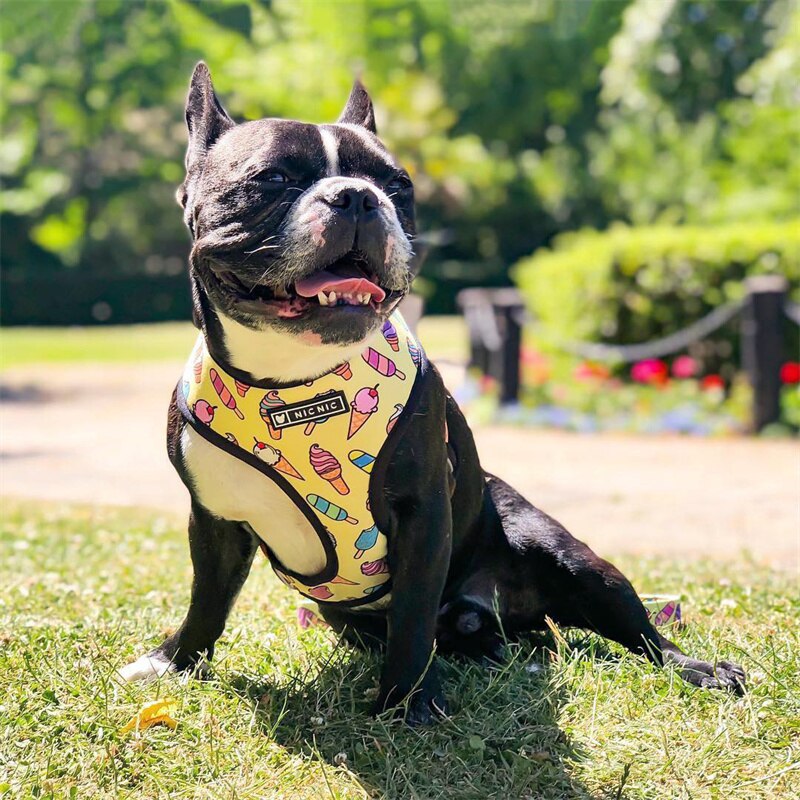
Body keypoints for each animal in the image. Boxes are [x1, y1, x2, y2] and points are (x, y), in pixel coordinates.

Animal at [117, 62, 744, 724]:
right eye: (275, 179)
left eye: (398, 185)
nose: (359, 195)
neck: (292, 385)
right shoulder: (214, 521)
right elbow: (208, 599)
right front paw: (175, 662)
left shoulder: (422, 517)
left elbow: (413, 614)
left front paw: (408, 701)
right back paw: (495, 650)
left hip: (568, 556)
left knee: (640, 631)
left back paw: (697, 668)